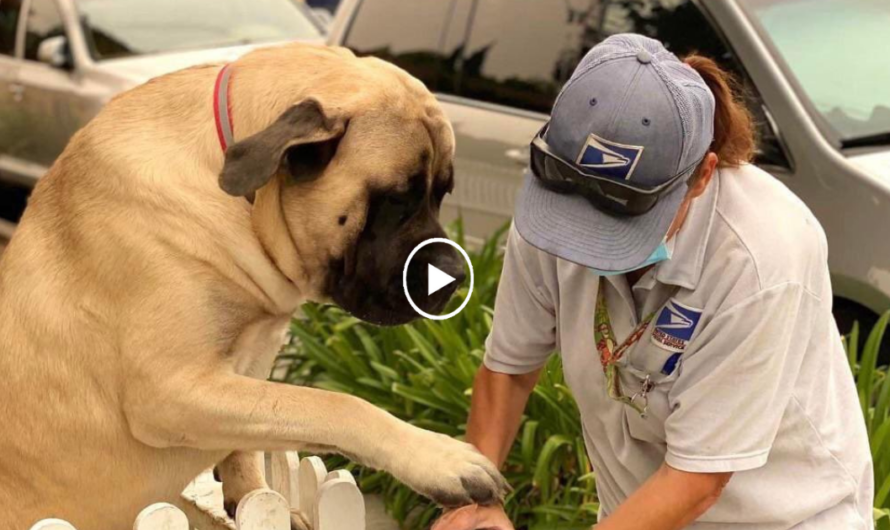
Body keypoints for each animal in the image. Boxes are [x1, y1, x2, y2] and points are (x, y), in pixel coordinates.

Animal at [0, 44, 502, 528]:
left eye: (441, 193)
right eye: (398, 199)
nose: (456, 276)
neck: (244, 203)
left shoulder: (249, 366)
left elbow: (258, 439)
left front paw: (251, 495)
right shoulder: (169, 389)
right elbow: (331, 404)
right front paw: (440, 458)